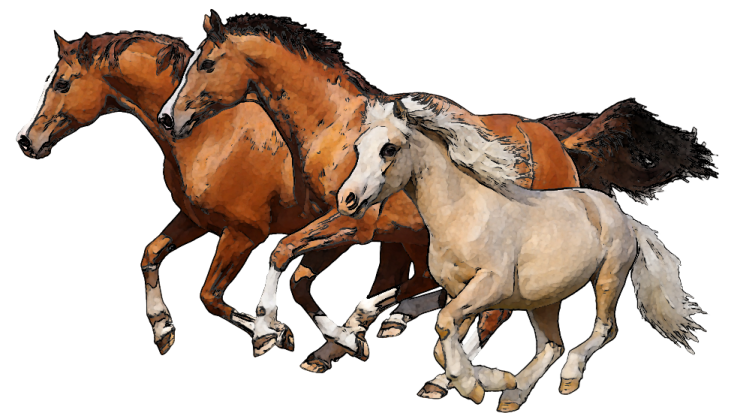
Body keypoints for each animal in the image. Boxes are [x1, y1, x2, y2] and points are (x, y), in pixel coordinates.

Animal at [13, 30, 478, 367]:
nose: (25, 140)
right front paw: (163, 330)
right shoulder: (197, 221)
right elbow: (150, 254)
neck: (209, 134)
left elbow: (211, 295)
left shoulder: (244, 233)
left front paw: (269, 334)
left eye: (63, 83)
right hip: (406, 238)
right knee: (411, 280)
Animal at [337, 95, 708, 410]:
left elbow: (443, 326)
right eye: (357, 146)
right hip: (544, 299)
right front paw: (489, 382)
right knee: (552, 345)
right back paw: (513, 393)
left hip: (608, 279)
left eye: (389, 148)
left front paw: (473, 386)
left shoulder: (489, 285)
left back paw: (567, 378)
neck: (463, 213)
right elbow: (442, 343)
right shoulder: (459, 291)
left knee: (604, 330)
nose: (347, 199)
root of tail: (623, 217)